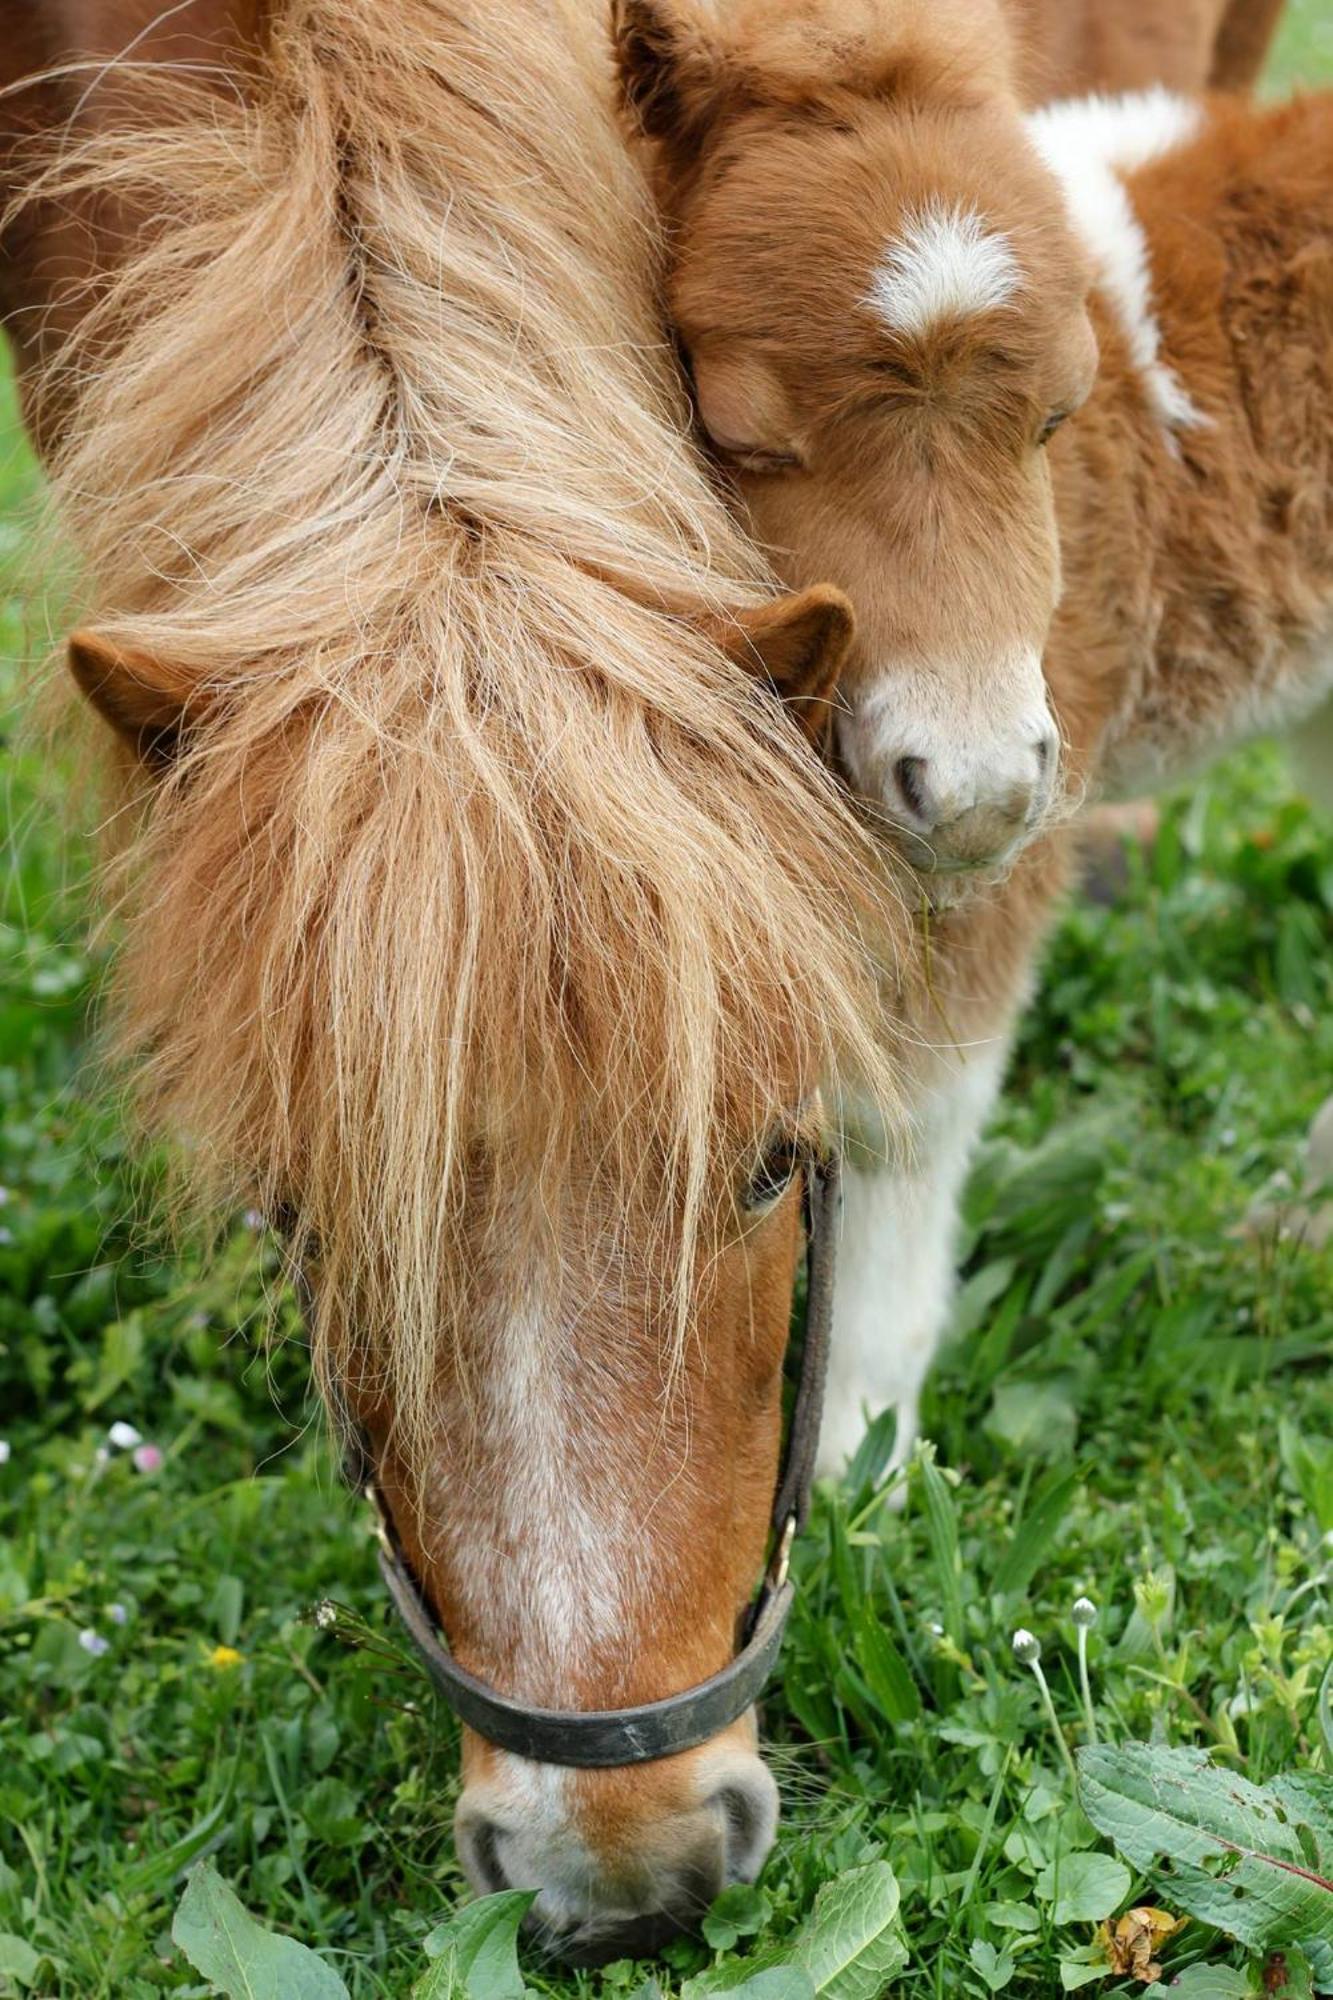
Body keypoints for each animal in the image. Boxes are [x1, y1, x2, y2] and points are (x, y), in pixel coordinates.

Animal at [620, 0, 1328, 1472]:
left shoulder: (997, 848)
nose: (975, 784)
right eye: (740, 434)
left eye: (1056, 413)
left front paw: (857, 1461)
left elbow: (904, 1123)